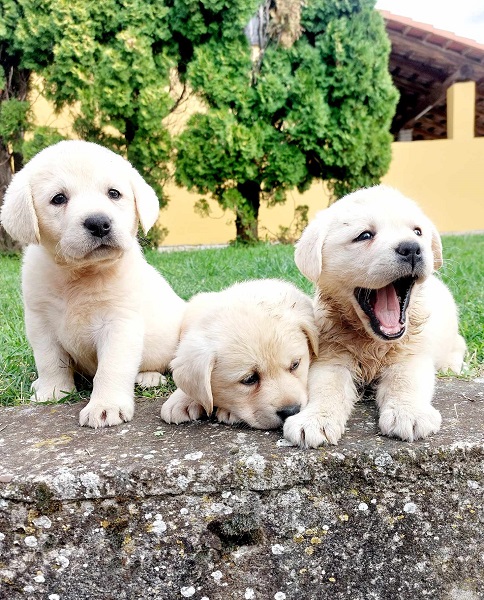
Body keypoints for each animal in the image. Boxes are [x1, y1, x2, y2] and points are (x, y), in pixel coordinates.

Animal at [0, 139, 185, 432]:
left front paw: (105, 406)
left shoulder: (119, 323)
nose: (99, 222)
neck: (79, 276)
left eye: (114, 193)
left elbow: (111, 368)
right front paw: (53, 392)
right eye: (59, 198)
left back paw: (149, 377)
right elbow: (49, 360)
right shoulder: (40, 323)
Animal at [284, 185, 466, 448]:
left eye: (417, 232)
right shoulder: (331, 357)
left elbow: (405, 381)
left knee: (458, 344)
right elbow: (327, 387)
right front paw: (315, 419)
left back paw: (452, 365)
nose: (412, 248)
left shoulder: (410, 354)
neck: (372, 342)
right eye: (365, 235)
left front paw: (409, 413)